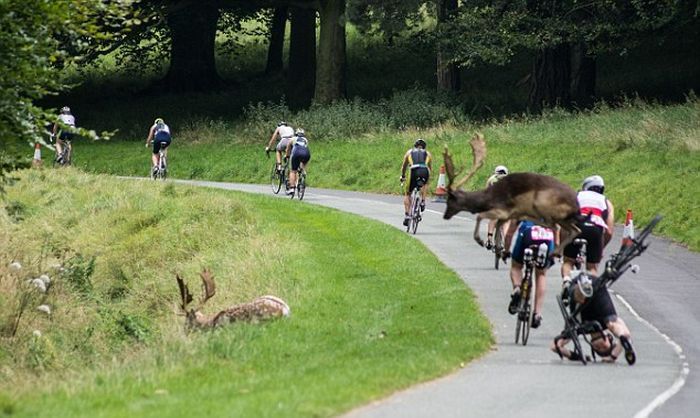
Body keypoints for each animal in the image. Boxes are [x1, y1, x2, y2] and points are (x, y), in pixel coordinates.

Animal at [443, 133, 582, 256]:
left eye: (450, 200)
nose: (445, 215)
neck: (488, 199)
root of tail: (576, 205)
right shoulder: (506, 215)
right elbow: (497, 226)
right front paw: (499, 249)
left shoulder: (503, 210)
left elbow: (480, 216)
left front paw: (480, 240)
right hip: (562, 218)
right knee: (574, 230)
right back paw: (555, 252)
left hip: (542, 204)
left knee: (554, 227)